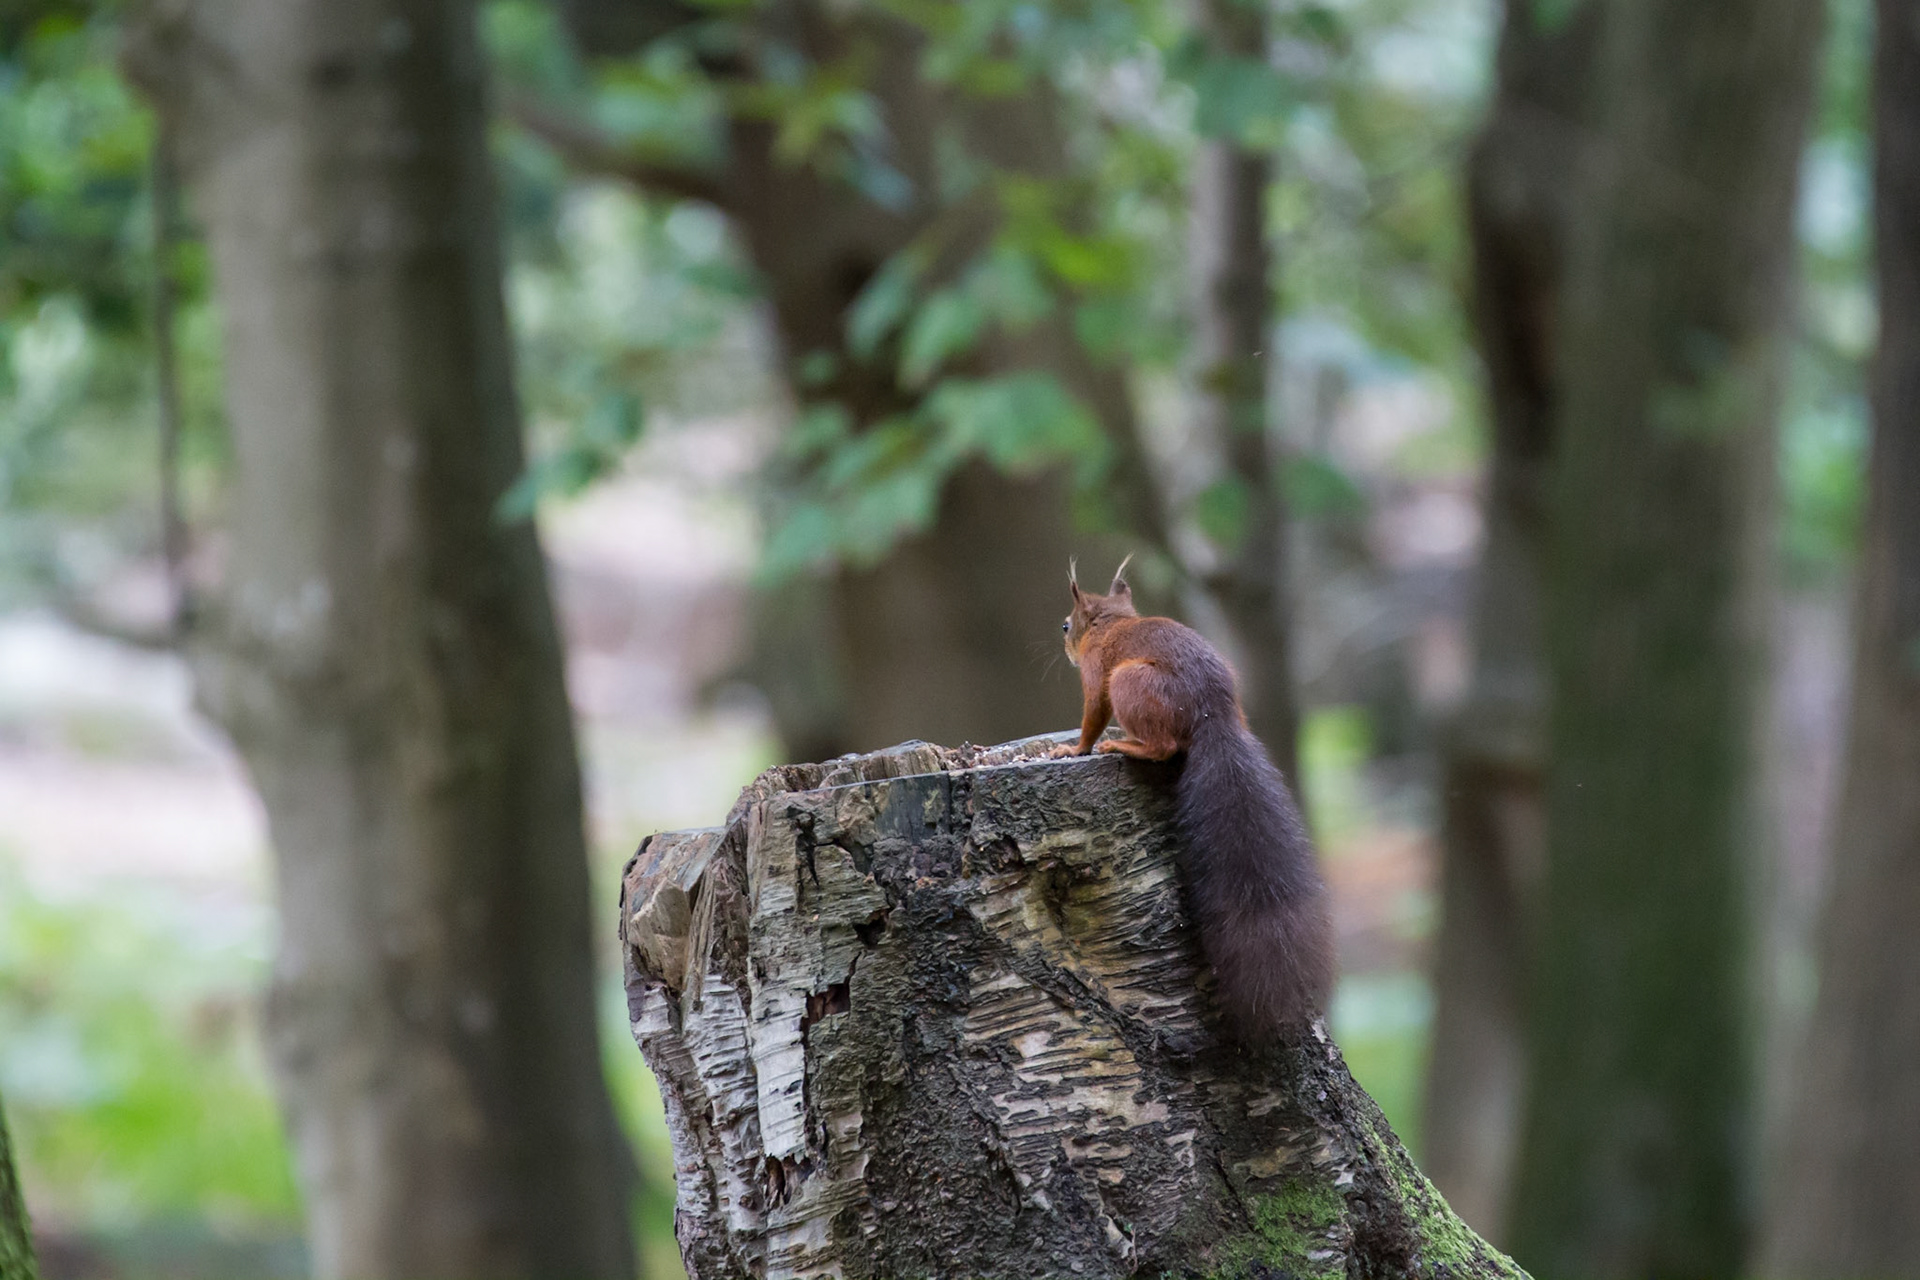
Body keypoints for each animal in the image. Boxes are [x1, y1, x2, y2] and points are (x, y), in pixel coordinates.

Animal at [1048, 557, 1334, 1041]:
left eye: (1067, 624)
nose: (1065, 646)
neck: (1113, 623)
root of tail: (1211, 715)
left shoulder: (1097, 672)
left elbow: (1092, 714)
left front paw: (1074, 749)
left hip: (1131, 681)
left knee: (1163, 747)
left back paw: (1125, 744)